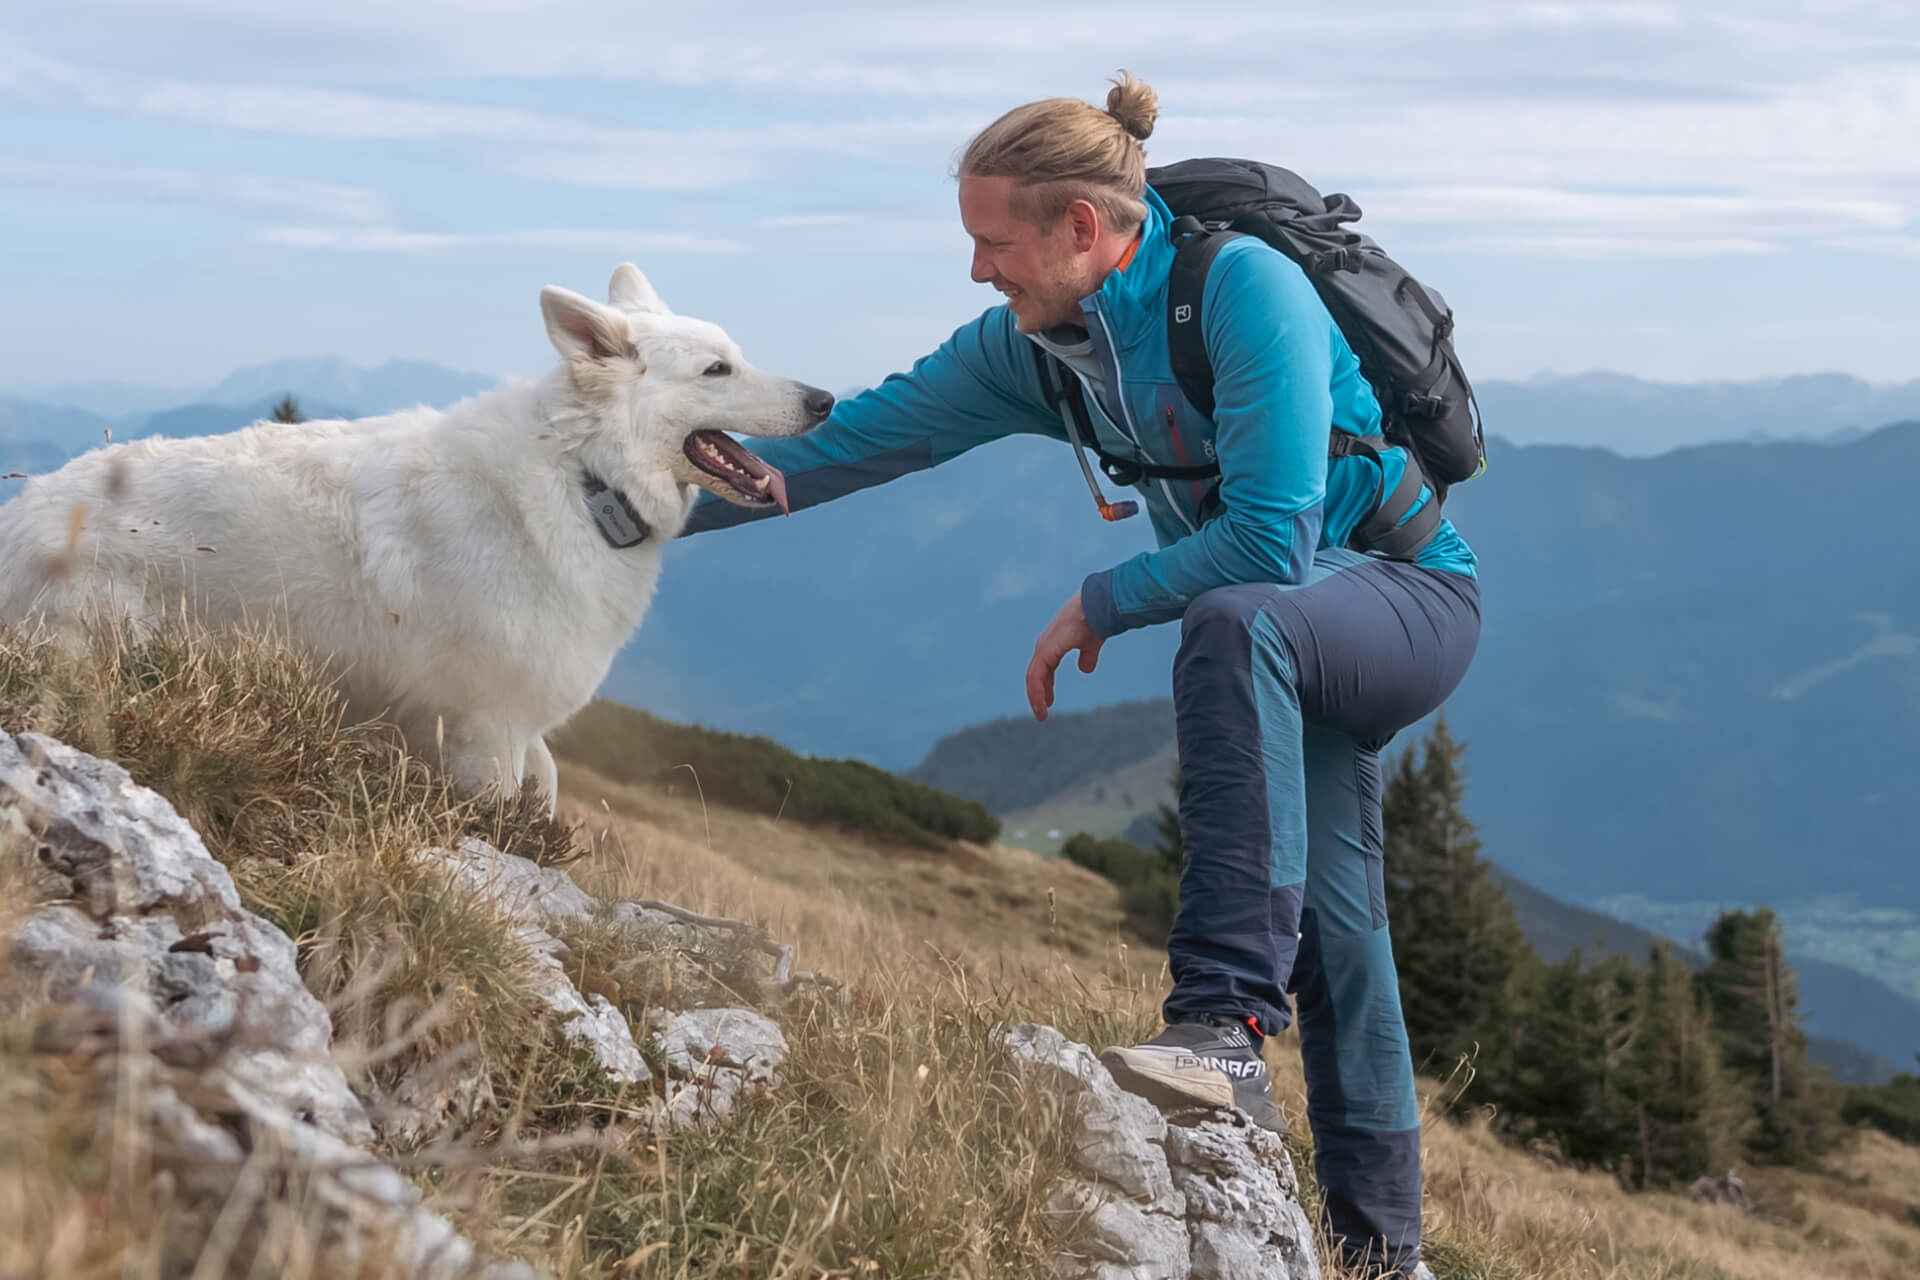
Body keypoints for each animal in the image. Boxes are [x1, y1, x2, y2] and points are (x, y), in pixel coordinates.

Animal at [0, 264, 825, 817]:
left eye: (736, 356)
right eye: (718, 370)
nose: (825, 399)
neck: (583, 476)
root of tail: (25, 511)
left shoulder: (514, 729)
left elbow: (548, 784)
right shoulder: (486, 732)